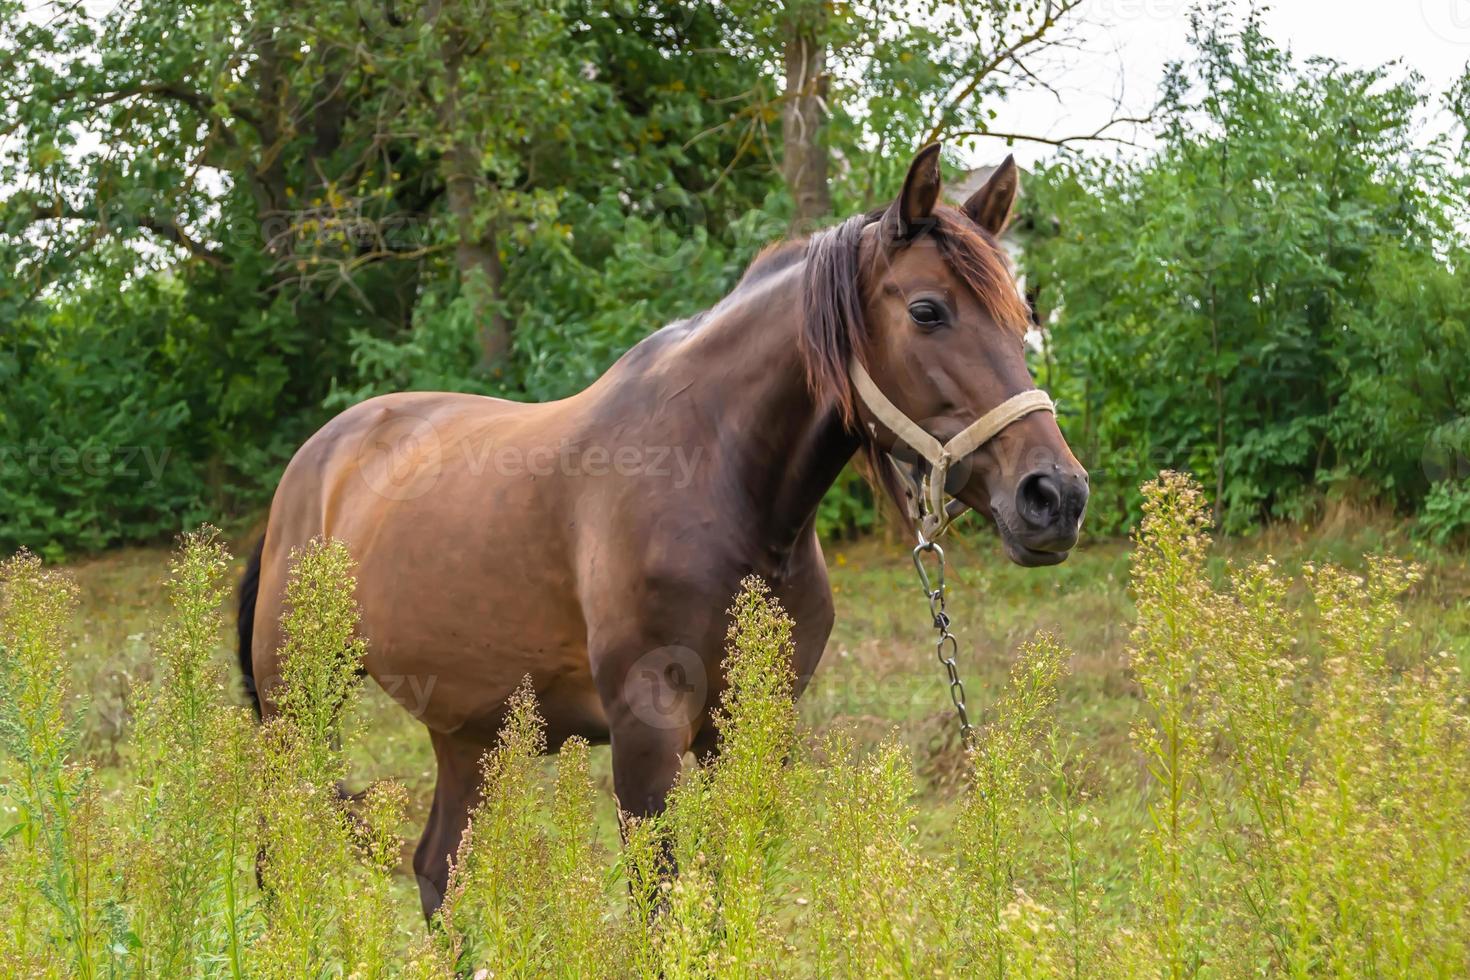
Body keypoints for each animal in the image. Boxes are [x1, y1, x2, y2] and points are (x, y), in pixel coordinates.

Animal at [238, 143, 1093, 922]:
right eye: (926, 310)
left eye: (1023, 317)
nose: (1055, 496)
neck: (717, 482)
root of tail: (315, 463)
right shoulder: (647, 735)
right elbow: (661, 911)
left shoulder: (753, 731)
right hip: (298, 713)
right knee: (280, 865)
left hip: (466, 730)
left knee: (436, 867)